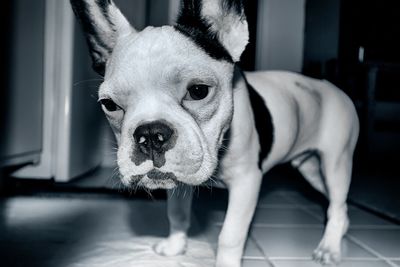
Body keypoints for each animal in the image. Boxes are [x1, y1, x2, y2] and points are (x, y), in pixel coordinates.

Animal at [70, 0, 360, 266]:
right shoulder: (178, 182)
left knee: (337, 202)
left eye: (198, 91)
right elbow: (177, 215)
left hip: (335, 164)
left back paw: (329, 247)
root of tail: (333, 87)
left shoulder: (246, 182)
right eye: (109, 105)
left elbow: (230, 236)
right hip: (310, 169)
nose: (150, 134)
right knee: (339, 205)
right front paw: (175, 247)